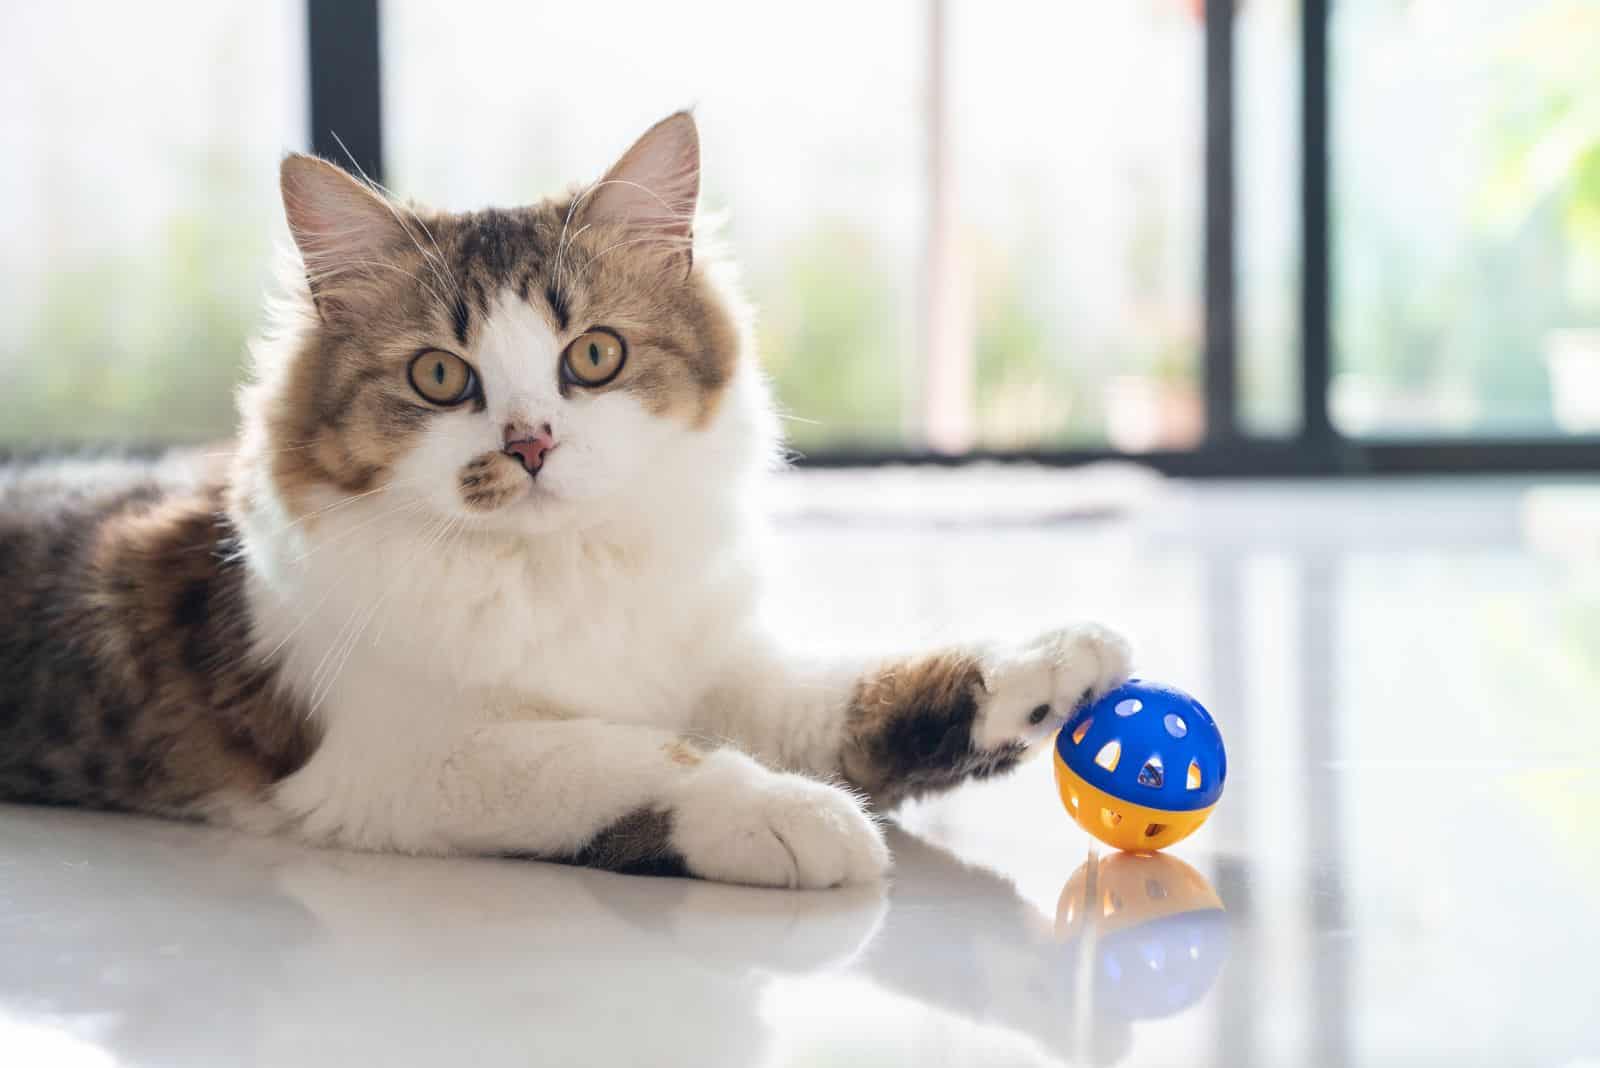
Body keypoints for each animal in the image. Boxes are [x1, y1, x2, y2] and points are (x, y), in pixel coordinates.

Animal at [0, 112, 1132, 888]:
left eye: (593, 356)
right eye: (440, 377)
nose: (531, 442)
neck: (556, 572)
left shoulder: (710, 665)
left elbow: (850, 695)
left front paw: (1048, 669)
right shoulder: (401, 759)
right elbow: (630, 754)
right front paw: (793, 817)